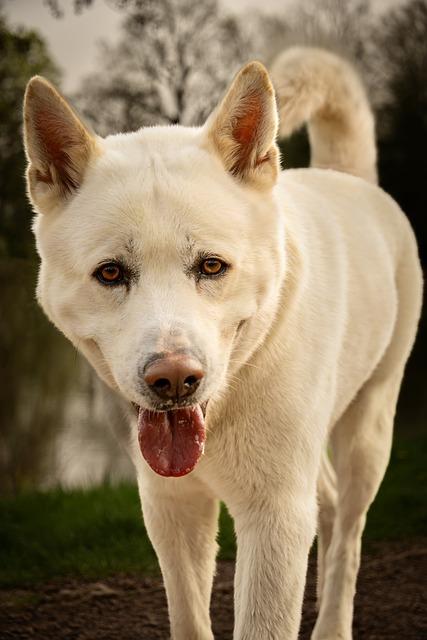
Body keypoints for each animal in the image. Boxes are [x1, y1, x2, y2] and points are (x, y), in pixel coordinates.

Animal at [22, 47, 422, 636]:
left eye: (211, 266)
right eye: (111, 273)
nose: (173, 379)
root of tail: (344, 176)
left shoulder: (275, 517)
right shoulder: (169, 505)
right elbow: (189, 616)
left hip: (368, 433)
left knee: (348, 538)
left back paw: (332, 623)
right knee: (327, 506)